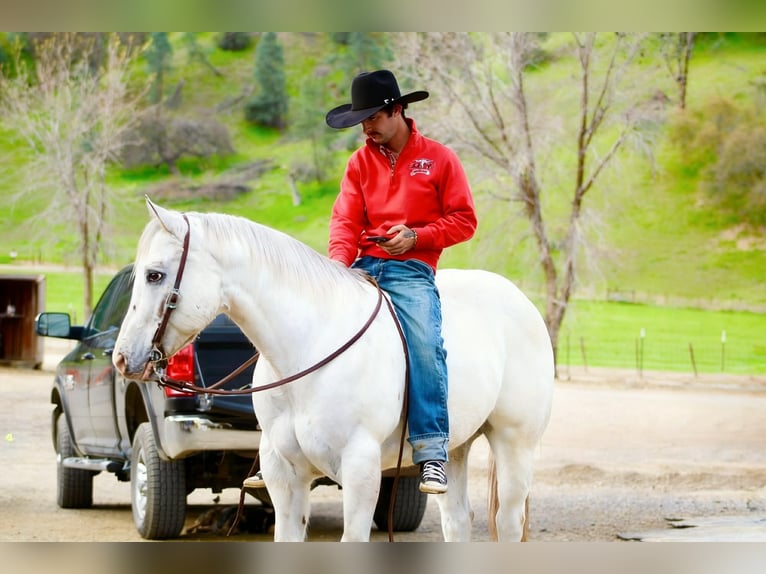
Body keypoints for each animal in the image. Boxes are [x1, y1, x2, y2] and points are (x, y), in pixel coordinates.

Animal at [113, 198, 555, 542]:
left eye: (155, 274)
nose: (121, 358)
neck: (309, 347)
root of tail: (520, 300)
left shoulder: (360, 472)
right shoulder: (285, 476)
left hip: (514, 444)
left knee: (508, 522)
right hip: (457, 449)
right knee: (458, 522)